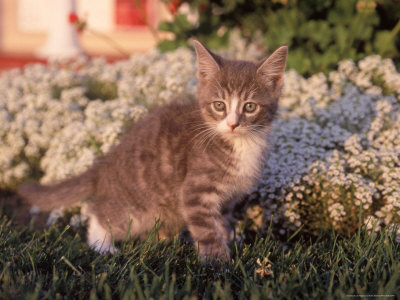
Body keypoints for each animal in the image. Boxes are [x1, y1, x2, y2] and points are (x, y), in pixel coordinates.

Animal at [18, 40, 288, 260]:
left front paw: (231, 240)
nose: (233, 124)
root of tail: (106, 162)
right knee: (100, 214)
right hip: (136, 208)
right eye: (219, 105)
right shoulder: (195, 191)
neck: (239, 143)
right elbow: (207, 230)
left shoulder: (229, 198)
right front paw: (218, 264)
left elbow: (223, 222)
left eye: (250, 106)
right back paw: (104, 246)